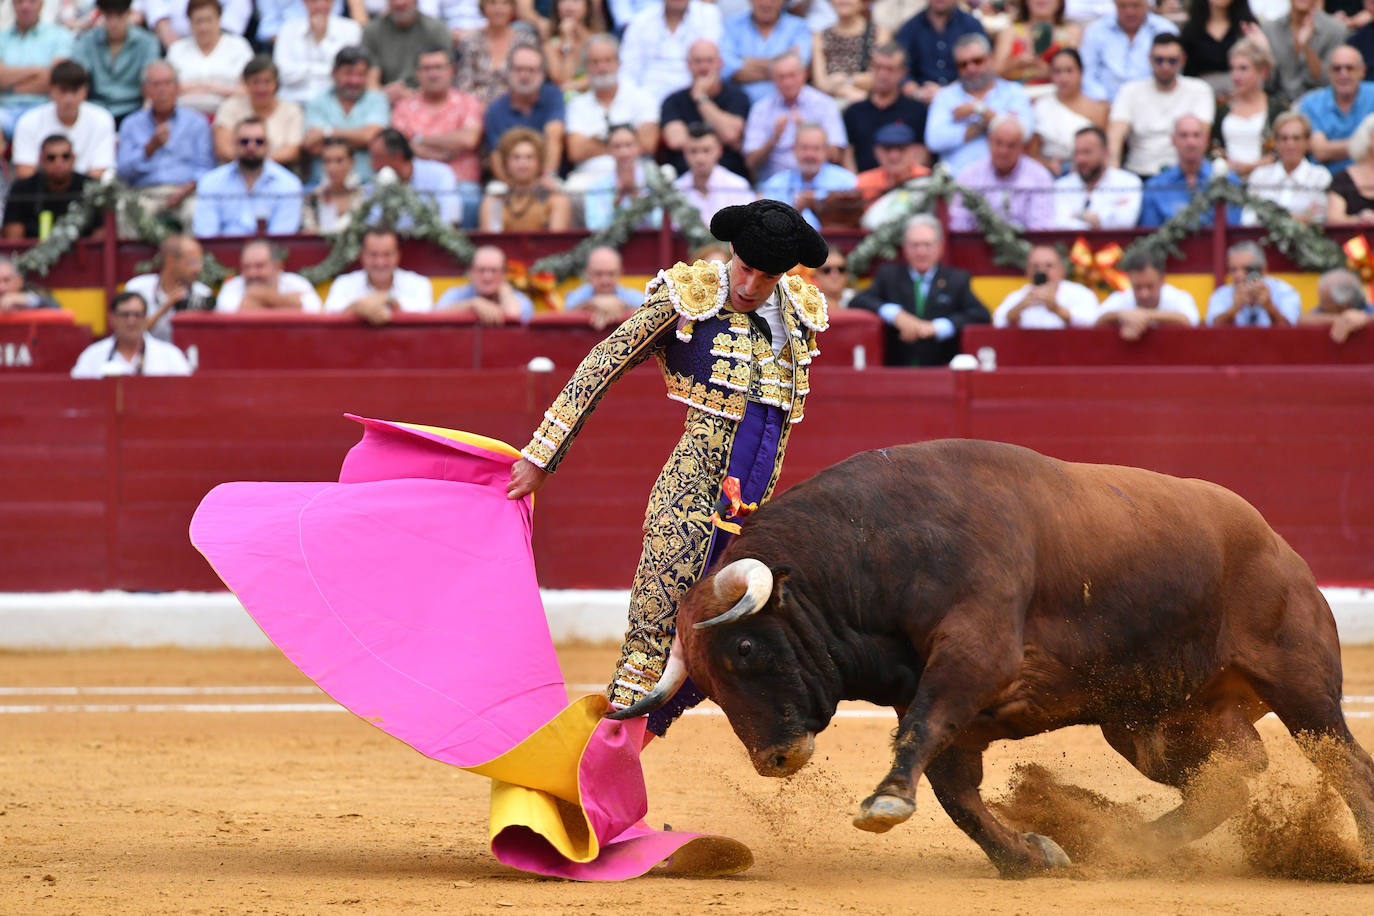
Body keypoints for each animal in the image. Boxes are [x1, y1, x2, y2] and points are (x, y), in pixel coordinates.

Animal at [612, 439, 1374, 878]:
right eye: (706, 686)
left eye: (744, 647)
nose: (775, 758)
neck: (872, 549)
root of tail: (1278, 545)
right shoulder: (956, 703)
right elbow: (955, 790)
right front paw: (1031, 855)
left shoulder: (975, 655)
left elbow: (924, 732)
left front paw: (885, 802)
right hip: (1151, 720)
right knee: (1232, 775)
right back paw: (1124, 845)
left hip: (1301, 685)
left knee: (1342, 760)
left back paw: (1357, 858)